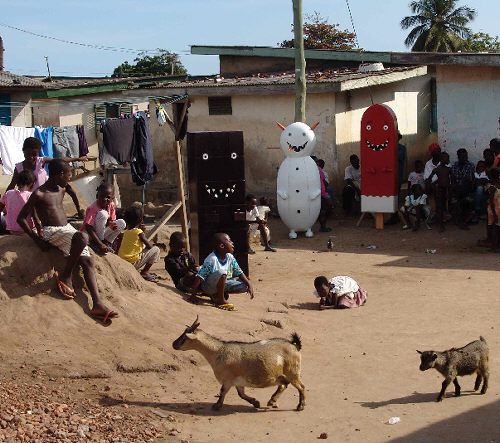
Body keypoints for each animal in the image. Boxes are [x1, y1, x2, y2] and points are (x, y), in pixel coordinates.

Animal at [172, 318, 304, 412]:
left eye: (184, 338)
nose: (173, 344)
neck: (218, 351)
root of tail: (294, 345)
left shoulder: (228, 379)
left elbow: (223, 391)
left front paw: (216, 406)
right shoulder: (238, 381)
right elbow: (241, 394)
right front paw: (255, 402)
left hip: (293, 371)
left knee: (300, 386)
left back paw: (300, 406)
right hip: (281, 374)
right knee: (284, 384)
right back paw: (272, 401)